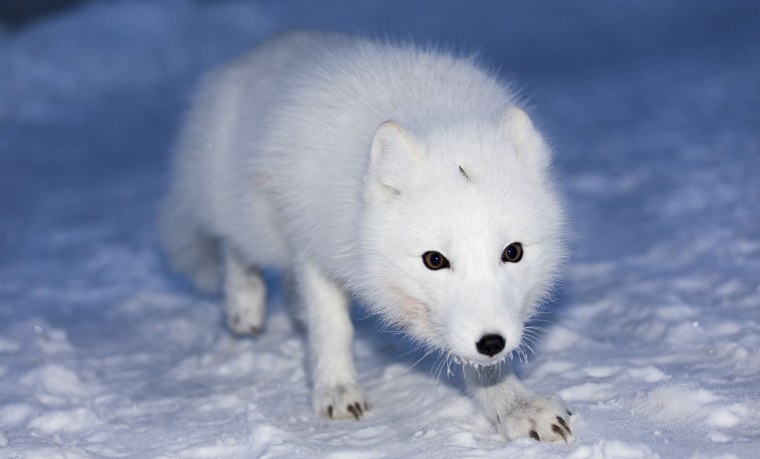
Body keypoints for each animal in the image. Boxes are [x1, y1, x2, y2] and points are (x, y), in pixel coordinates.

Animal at [159, 31, 572, 442]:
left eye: (513, 252)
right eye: (434, 260)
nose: (491, 342)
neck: (440, 118)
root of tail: (253, 53)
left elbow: (485, 369)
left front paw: (516, 405)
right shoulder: (313, 245)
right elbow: (333, 329)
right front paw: (336, 391)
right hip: (252, 218)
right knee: (234, 244)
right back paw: (244, 305)